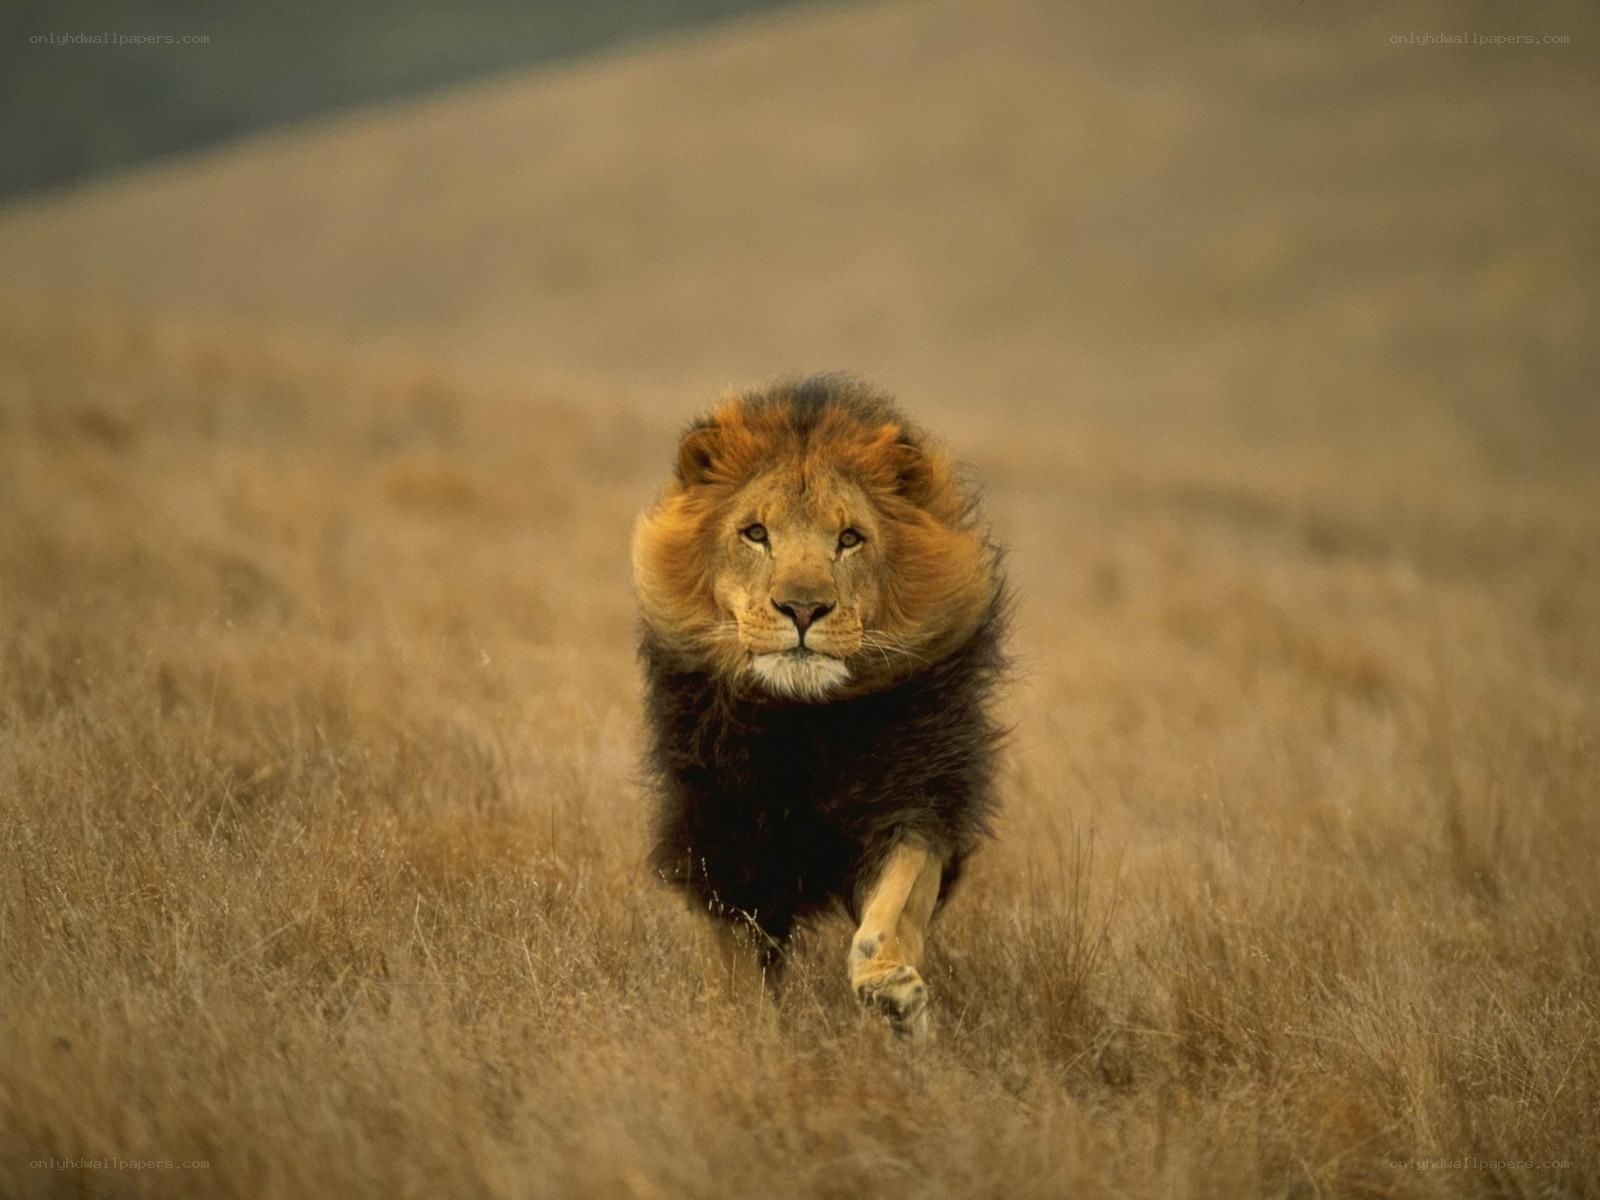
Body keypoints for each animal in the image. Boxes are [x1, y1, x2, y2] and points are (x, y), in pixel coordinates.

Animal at [632, 375, 1006, 1038]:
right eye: (756, 533)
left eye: (849, 539)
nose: (803, 608)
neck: (803, 725)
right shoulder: (722, 841)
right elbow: (733, 971)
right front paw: (741, 1033)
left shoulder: (914, 799)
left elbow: (892, 909)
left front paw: (890, 989)